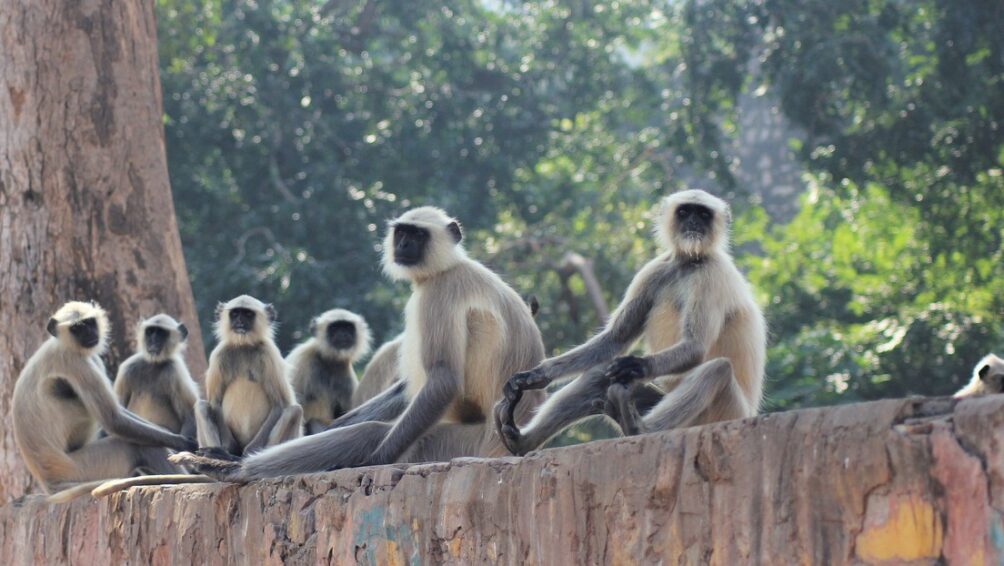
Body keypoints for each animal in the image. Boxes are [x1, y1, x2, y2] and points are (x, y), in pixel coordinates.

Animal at [12, 303, 195, 501]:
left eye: (90, 323)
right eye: (77, 328)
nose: (89, 334)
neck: (62, 343)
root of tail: (50, 484)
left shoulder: (90, 358)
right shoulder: (74, 361)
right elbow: (113, 419)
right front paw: (184, 444)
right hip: (81, 469)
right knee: (136, 445)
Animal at [174, 205, 550, 479]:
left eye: (417, 235)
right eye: (402, 232)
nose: (403, 246)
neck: (448, 268)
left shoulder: (439, 294)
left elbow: (442, 379)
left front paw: (377, 458)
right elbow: (406, 389)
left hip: (461, 444)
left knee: (370, 433)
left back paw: (229, 469)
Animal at [495, 189, 767, 455]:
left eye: (703, 214)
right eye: (684, 212)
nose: (693, 224)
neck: (689, 263)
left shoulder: (712, 275)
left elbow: (696, 346)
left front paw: (636, 365)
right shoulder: (654, 271)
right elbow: (615, 339)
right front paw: (534, 376)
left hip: (726, 413)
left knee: (717, 369)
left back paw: (638, 428)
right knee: (599, 374)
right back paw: (522, 442)